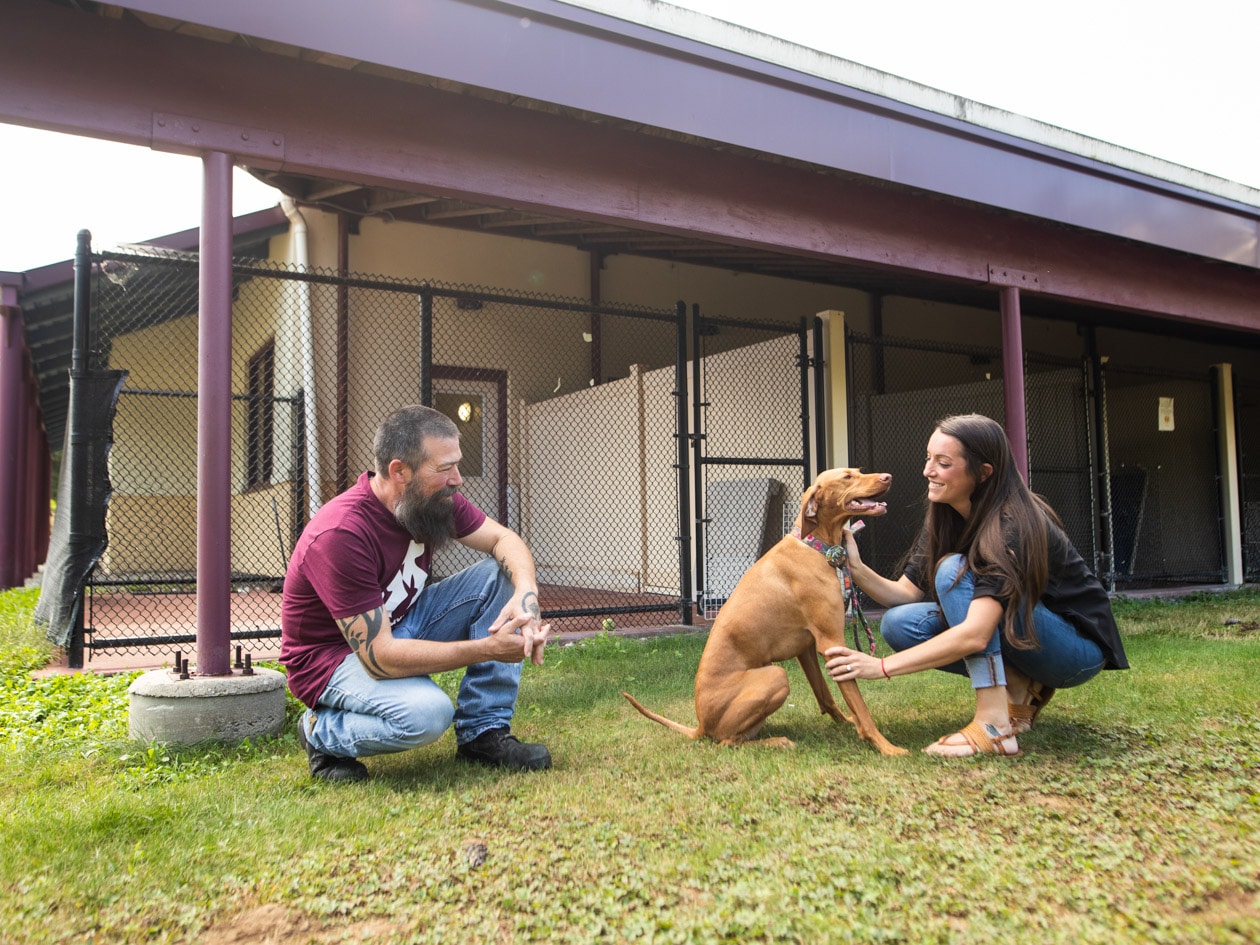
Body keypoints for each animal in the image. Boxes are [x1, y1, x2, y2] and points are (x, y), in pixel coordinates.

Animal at [622, 471, 907, 761]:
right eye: (847, 476)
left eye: (859, 471)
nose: (888, 476)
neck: (814, 545)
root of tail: (700, 725)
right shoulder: (832, 643)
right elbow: (860, 704)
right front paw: (885, 745)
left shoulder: (807, 648)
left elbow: (825, 695)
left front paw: (850, 724)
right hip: (775, 676)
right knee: (727, 742)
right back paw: (777, 742)